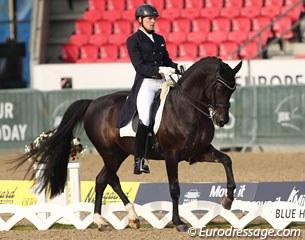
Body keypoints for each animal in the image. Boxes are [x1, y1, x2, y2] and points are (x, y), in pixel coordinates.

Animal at [14, 57, 242, 232]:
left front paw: (228, 199)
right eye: (219, 87)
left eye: (233, 89)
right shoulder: (172, 155)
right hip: (110, 153)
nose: (222, 120)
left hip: (119, 153)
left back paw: (108, 220)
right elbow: (174, 188)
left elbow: (227, 160)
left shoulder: (199, 152)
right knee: (110, 178)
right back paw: (124, 216)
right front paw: (178, 222)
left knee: (102, 179)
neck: (187, 107)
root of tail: (93, 103)